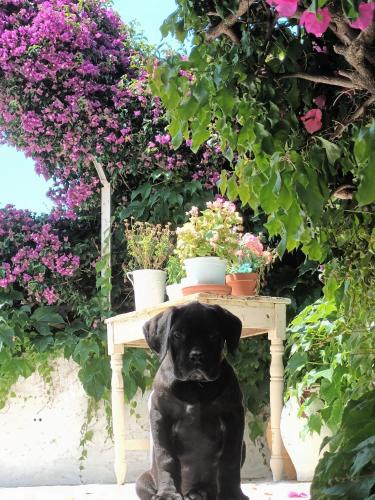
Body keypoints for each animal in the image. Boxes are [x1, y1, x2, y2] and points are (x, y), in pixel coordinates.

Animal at [136, 300, 250, 500]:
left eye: (214, 335)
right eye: (177, 335)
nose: (196, 355)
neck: (195, 385)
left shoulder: (233, 416)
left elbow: (230, 458)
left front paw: (232, 494)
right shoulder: (161, 417)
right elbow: (165, 457)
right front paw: (167, 493)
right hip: (142, 482)